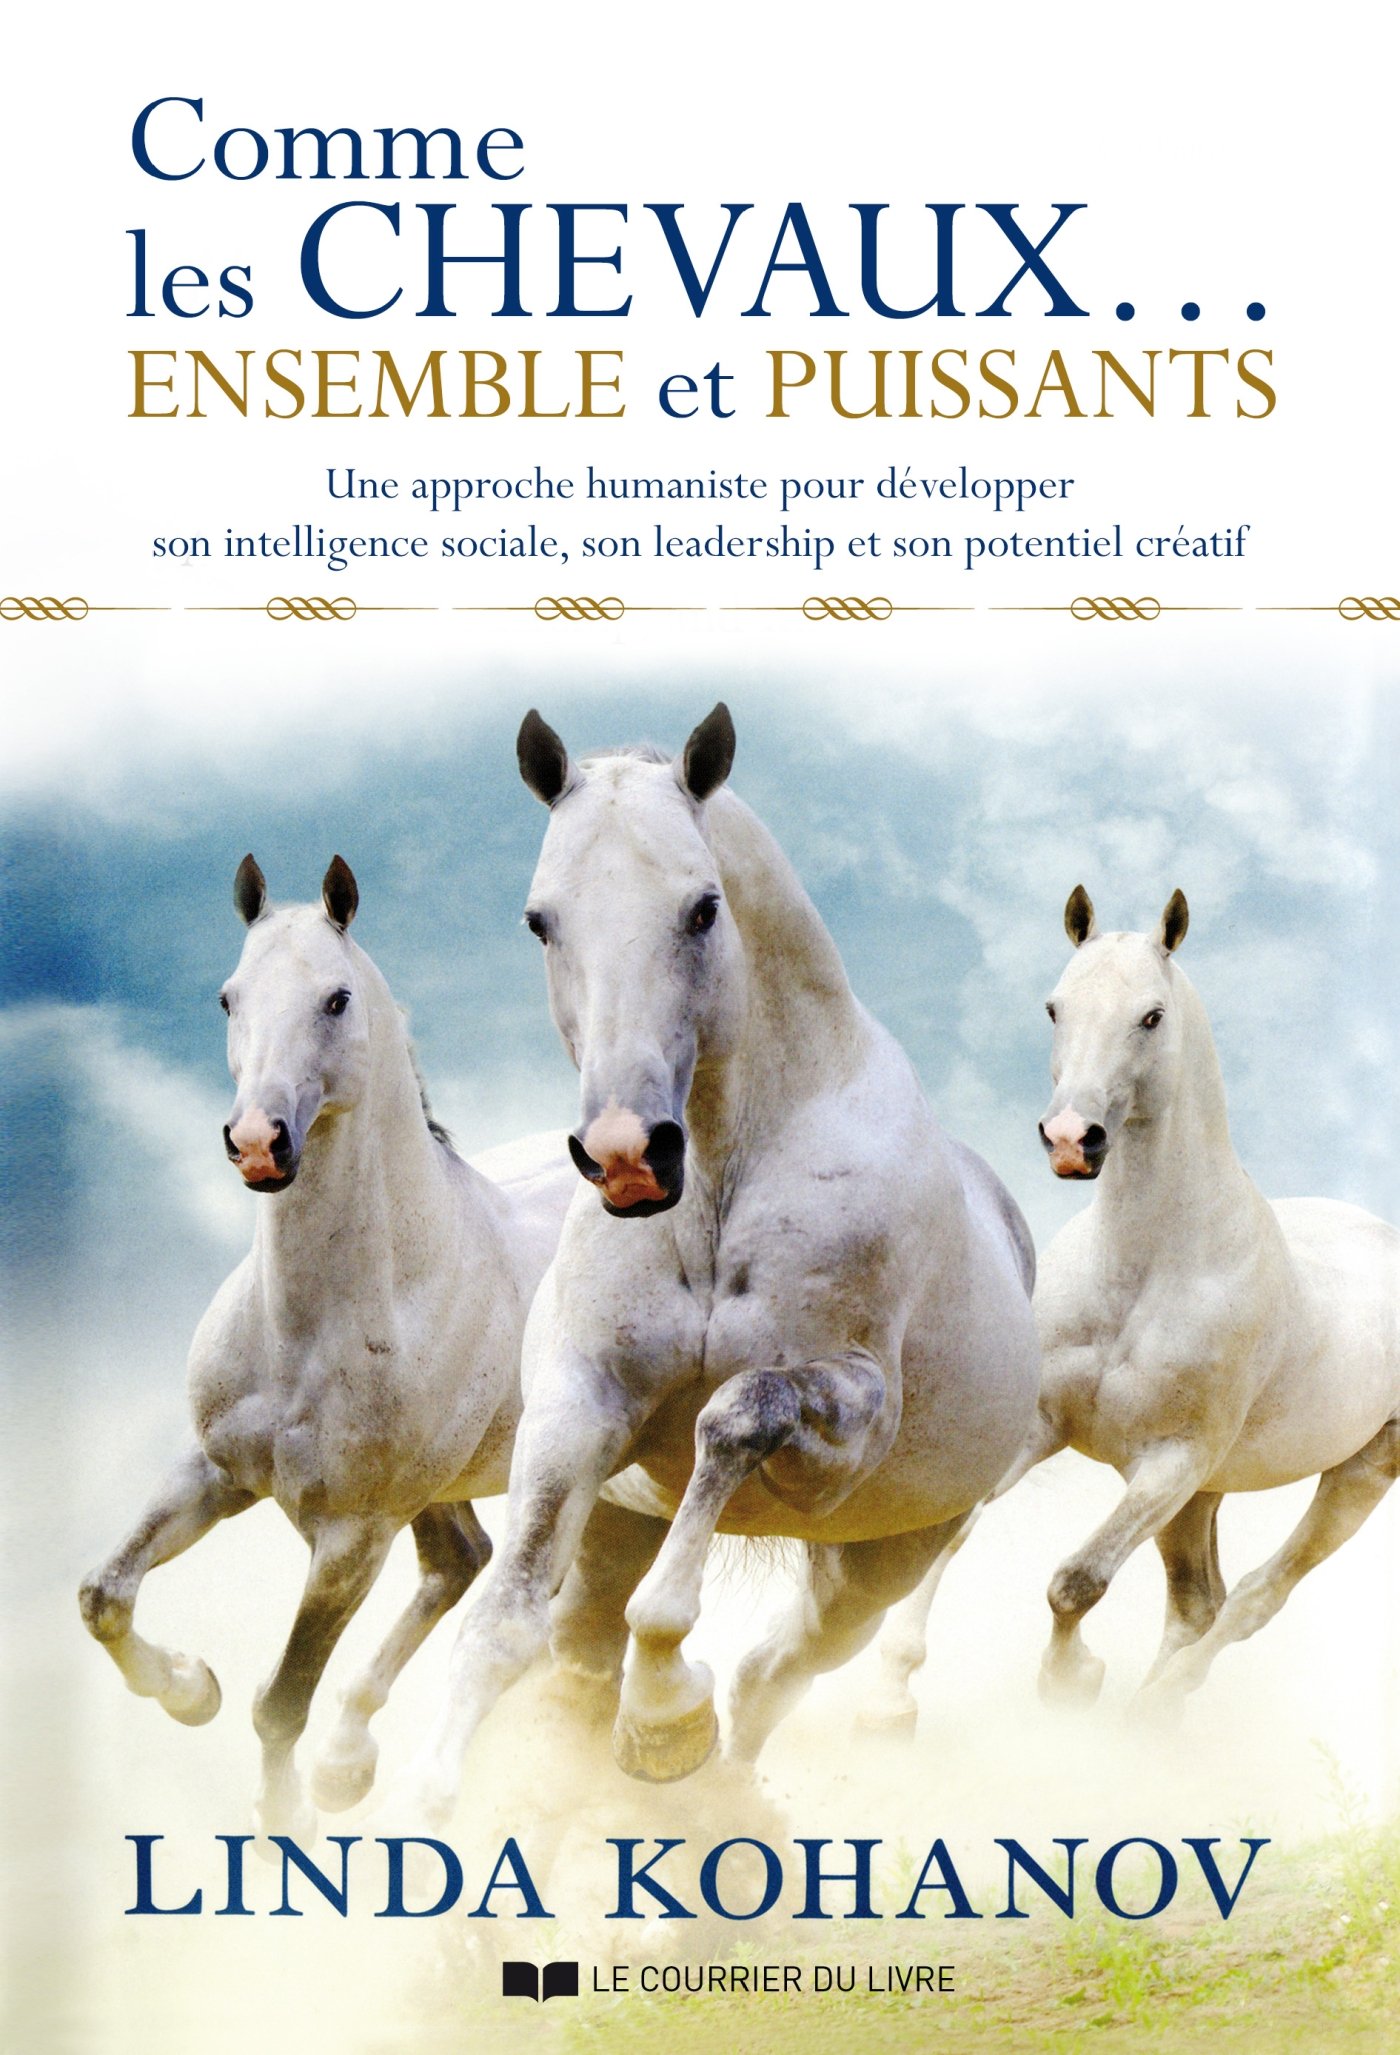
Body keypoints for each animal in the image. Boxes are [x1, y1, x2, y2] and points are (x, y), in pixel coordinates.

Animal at [78, 855, 575, 1835]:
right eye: (229, 997)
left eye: (337, 998)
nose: (257, 1141)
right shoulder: (215, 1470)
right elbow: (104, 1595)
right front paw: (190, 1687)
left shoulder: (351, 1537)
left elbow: (281, 1698)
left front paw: (284, 1826)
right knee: (461, 1559)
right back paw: (349, 1760)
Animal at [404, 704, 1039, 1812]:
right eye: (540, 920)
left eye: (702, 909)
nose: (627, 1154)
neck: (718, 1187)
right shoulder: (580, 1403)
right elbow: (501, 1621)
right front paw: (437, 1803)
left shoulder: (844, 1423)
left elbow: (735, 1419)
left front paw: (664, 1713)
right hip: (616, 1534)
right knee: (583, 1663)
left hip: (876, 1563)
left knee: (767, 1676)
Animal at [865, 885, 1400, 1727]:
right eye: (1055, 1006)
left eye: (1151, 1014)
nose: (1070, 1139)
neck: (1143, 1272)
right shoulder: (1043, 1423)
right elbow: (951, 1531)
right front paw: (889, 1696)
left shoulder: (1169, 1461)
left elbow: (1077, 1579)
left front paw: (1069, 1679)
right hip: (1203, 1495)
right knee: (1199, 1601)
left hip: (1358, 1471)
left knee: (1254, 1597)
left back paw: (1155, 1708)